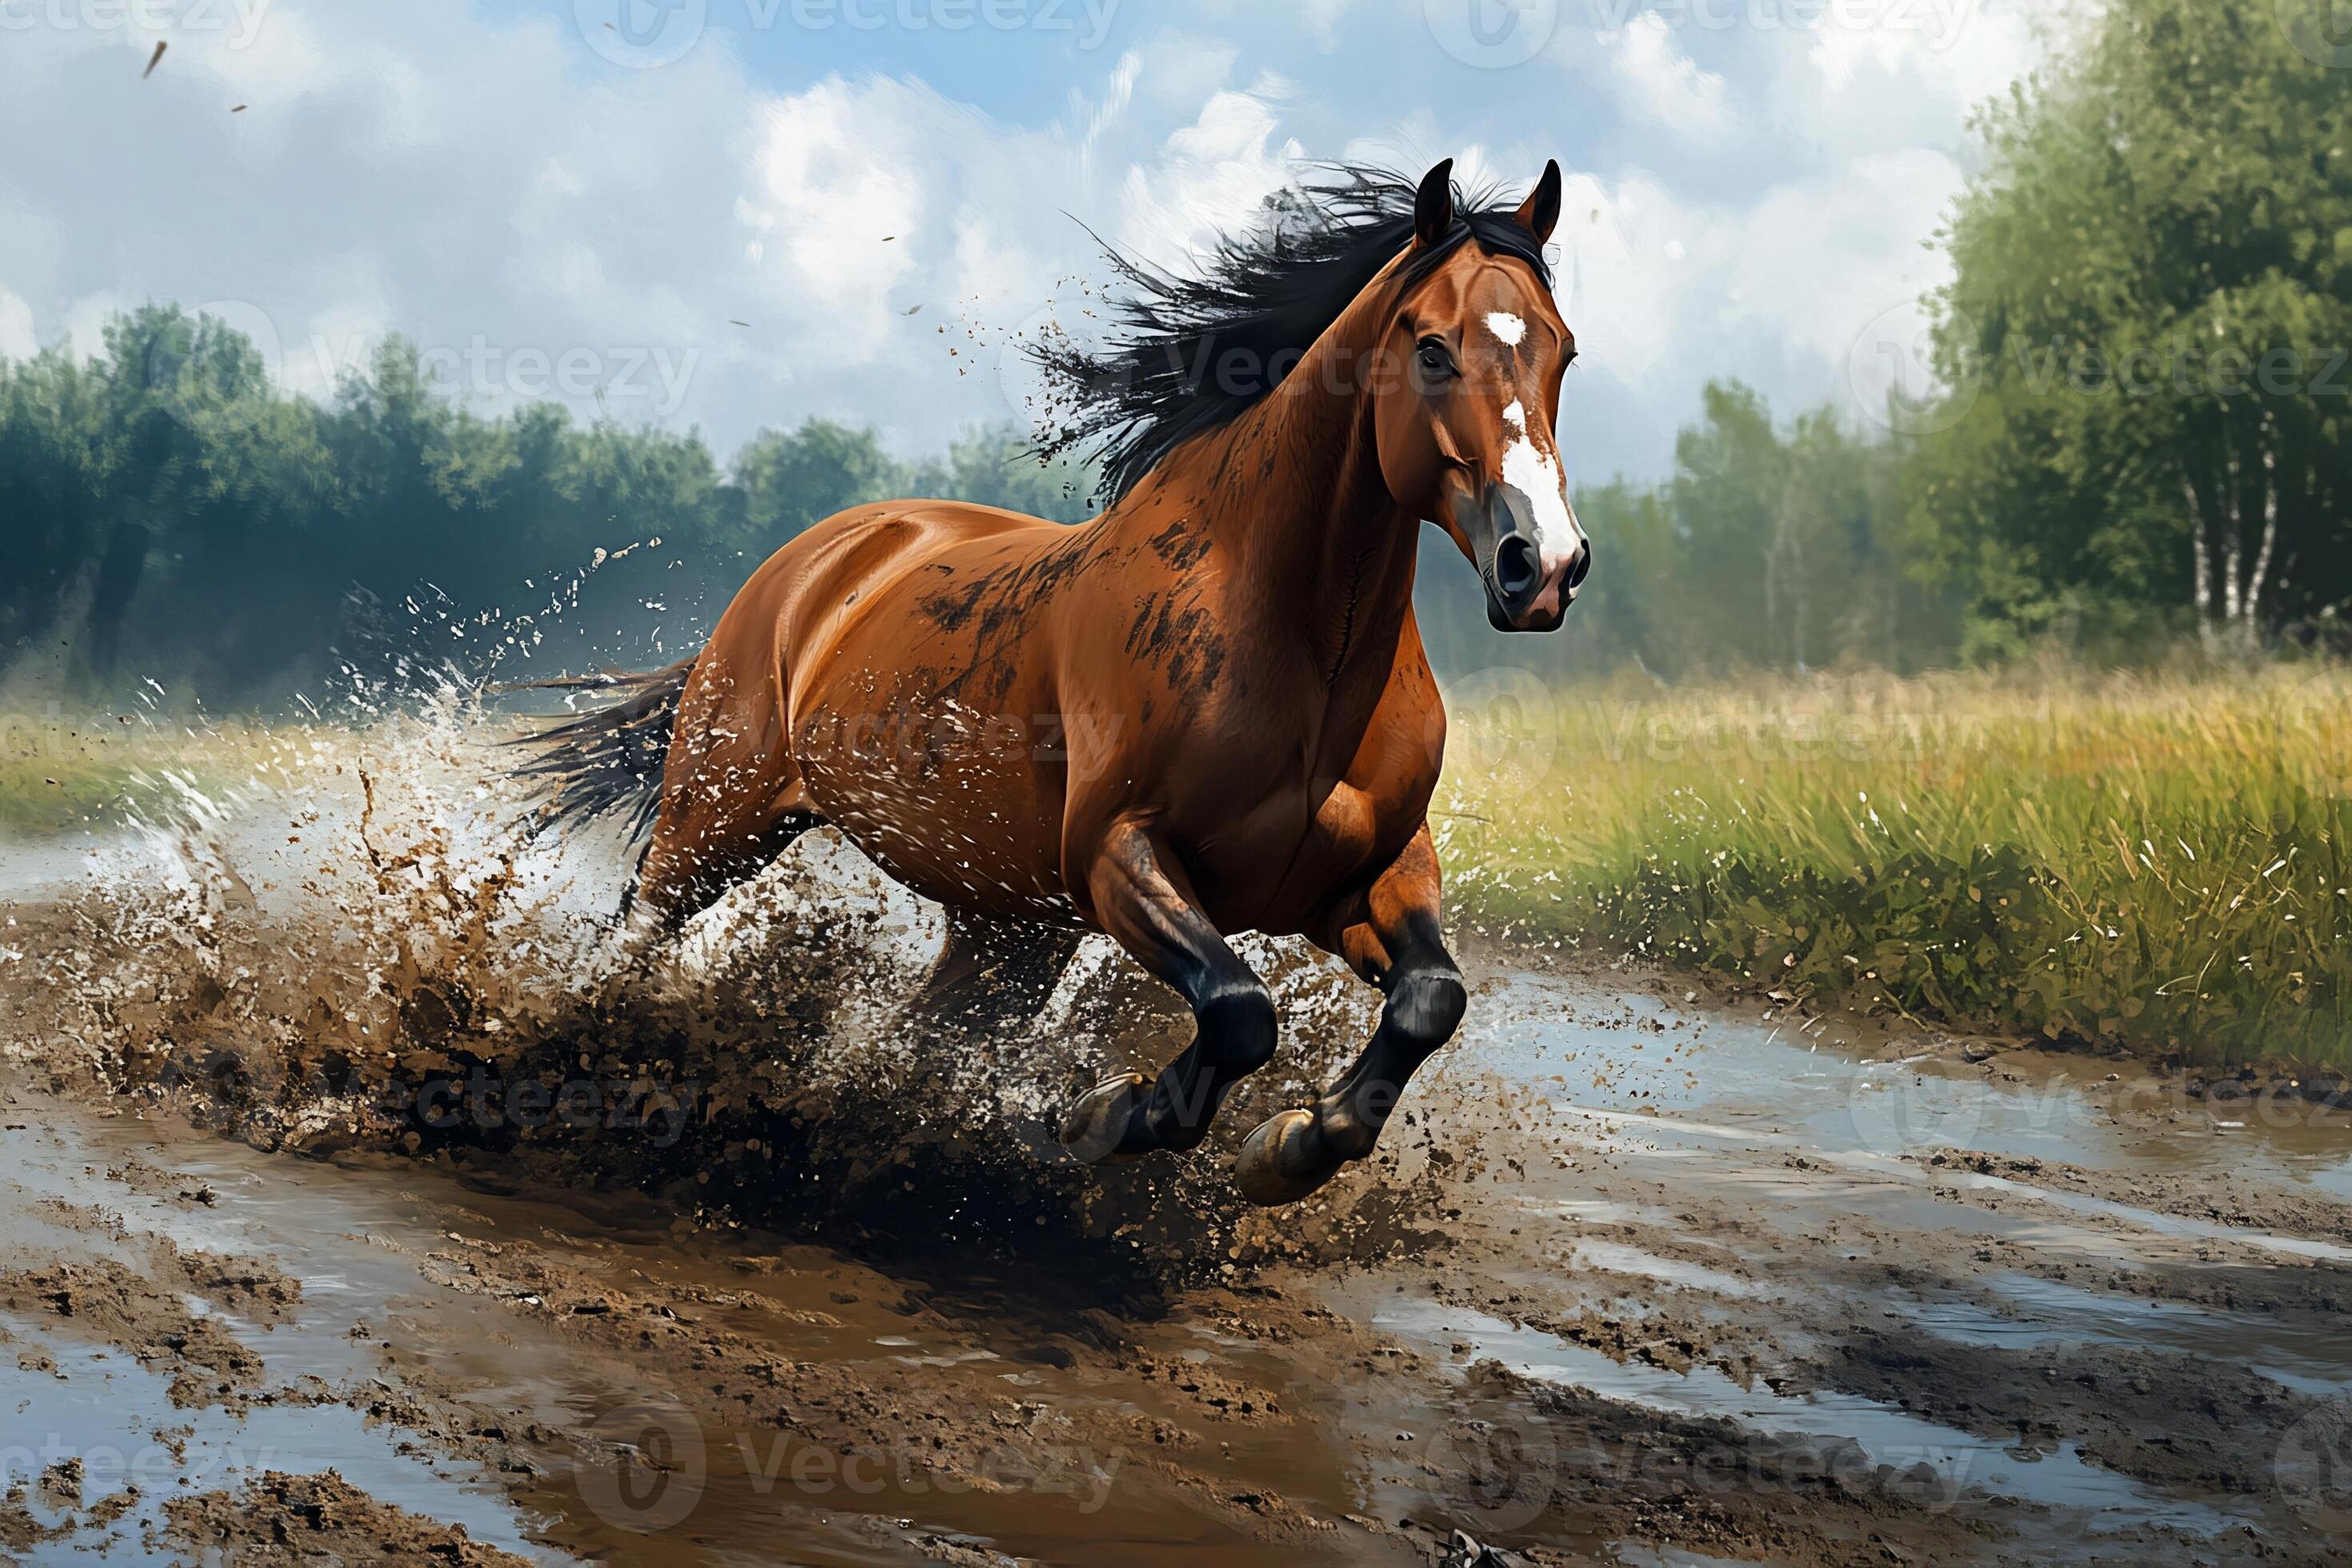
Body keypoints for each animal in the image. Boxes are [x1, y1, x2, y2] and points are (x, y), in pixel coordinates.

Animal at [514, 159, 1589, 1206]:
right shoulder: (1118, 854)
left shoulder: (1363, 876)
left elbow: (1430, 998)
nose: (1542, 565)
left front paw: (1289, 1148)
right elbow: (1240, 1010)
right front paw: (1104, 1114)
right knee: (632, 938)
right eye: (1434, 349)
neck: (1297, 647)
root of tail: (816, 562)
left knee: (913, 1037)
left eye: (1563, 352)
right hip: (721, 822)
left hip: (1005, 931)